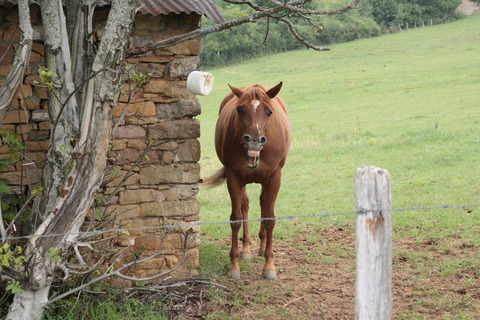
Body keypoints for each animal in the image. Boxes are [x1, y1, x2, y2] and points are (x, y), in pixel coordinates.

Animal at [204, 82, 290, 280]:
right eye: (240, 109)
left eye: (269, 111)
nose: (254, 141)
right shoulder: (234, 178)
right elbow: (236, 218)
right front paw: (233, 265)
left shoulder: (274, 179)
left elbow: (269, 219)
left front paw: (269, 266)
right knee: (245, 205)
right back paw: (246, 250)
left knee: (262, 204)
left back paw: (261, 247)